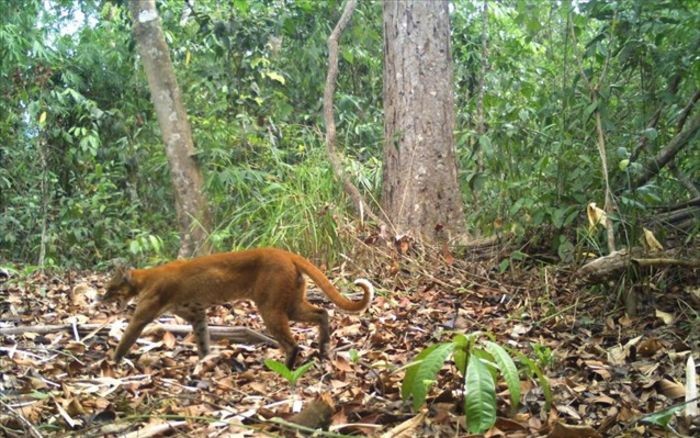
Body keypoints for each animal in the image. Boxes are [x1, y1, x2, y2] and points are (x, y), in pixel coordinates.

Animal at [102, 248, 374, 368]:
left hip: (270, 308)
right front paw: (205, 359)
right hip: (291, 304)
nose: (102, 297)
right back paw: (323, 347)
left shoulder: (143, 314)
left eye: (111, 287)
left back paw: (284, 368)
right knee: (322, 312)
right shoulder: (195, 312)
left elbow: (127, 337)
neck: (144, 278)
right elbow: (202, 335)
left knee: (293, 343)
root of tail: (284, 252)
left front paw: (111, 362)